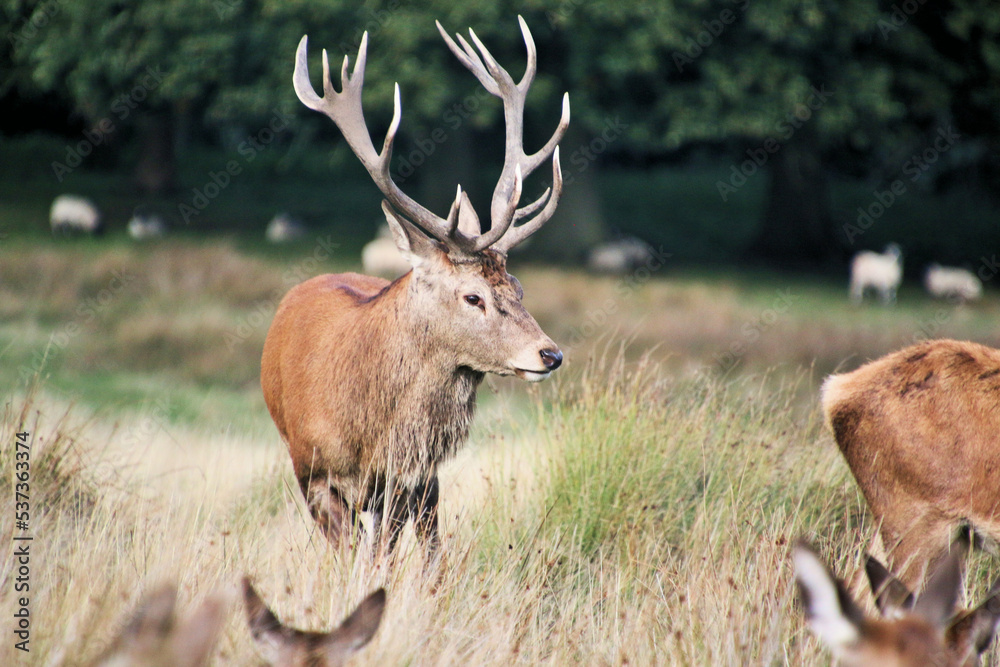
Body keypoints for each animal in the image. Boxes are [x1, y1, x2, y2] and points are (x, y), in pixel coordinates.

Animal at [262, 16, 568, 563]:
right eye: (473, 296)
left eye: (518, 287)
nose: (549, 354)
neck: (367, 432)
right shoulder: (311, 469)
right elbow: (352, 559)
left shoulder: (411, 477)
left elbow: (388, 555)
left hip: (427, 485)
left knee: (430, 547)